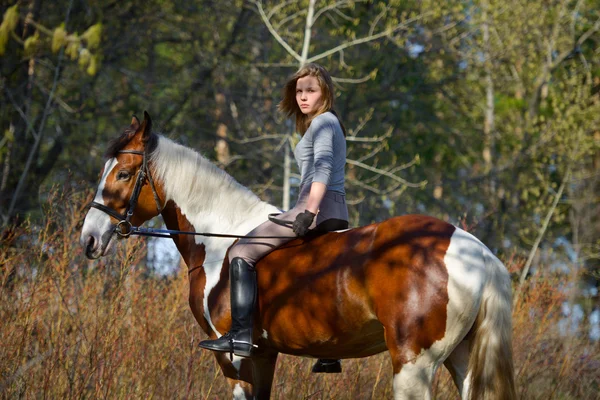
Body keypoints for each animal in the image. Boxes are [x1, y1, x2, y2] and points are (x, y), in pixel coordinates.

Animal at [79, 112, 516, 400]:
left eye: (122, 174)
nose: (89, 239)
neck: (220, 240)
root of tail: (475, 251)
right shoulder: (264, 355)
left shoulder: (235, 358)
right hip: (460, 360)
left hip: (414, 366)